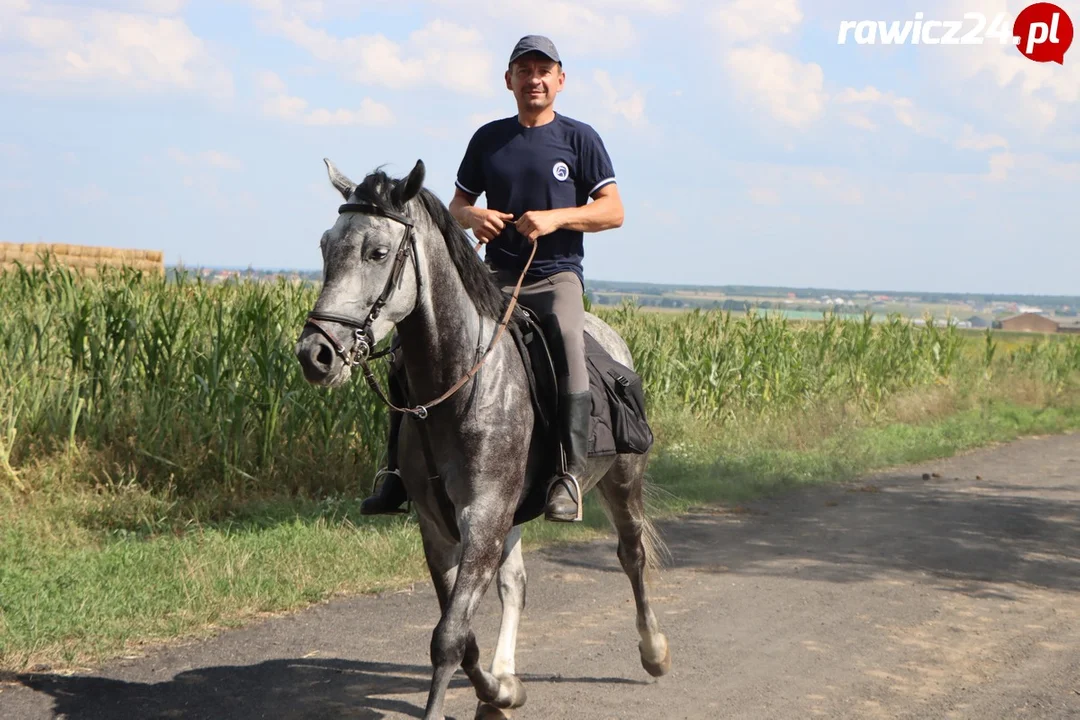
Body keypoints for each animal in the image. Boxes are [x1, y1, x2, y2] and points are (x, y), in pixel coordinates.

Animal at [291, 158, 669, 720]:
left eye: (377, 252)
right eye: (325, 246)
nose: (315, 354)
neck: (459, 385)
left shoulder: (484, 515)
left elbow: (448, 636)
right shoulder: (441, 526)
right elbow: (462, 631)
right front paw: (500, 691)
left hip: (622, 480)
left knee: (632, 554)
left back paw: (654, 652)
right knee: (516, 585)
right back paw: (505, 680)